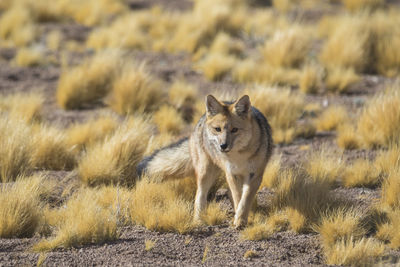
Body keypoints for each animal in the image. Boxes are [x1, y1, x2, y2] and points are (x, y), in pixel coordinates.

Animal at [136, 94, 274, 228]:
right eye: (218, 129)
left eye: (234, 130)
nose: (223, 146)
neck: (238, 157)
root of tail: (201, 120)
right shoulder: (231, 173)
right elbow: (238, 197)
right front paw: (239, 220)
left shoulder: (254, 175)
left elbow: (245, 199)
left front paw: (240, 219)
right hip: (206, 172)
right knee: (200, 196)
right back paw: (198, 221)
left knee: (227, 193)